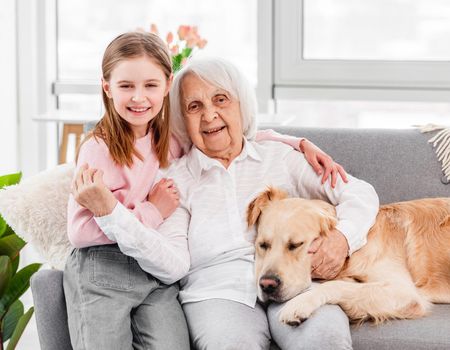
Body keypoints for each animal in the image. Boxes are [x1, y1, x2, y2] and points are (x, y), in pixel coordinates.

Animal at [246, 187, 450, 326]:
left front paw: (300, 303)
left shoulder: (405, 292)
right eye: (263, 245)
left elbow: (335, 285)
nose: (267, 285)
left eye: (296, 245)